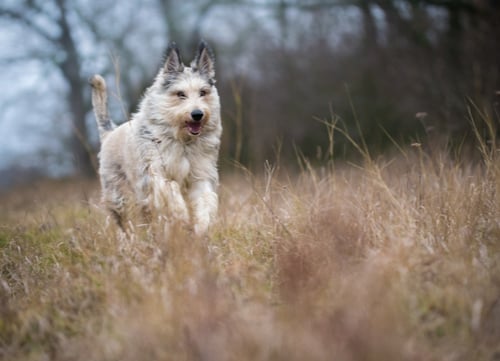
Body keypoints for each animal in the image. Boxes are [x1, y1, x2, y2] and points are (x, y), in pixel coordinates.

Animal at [90, 41, 223, 233]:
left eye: (203, 92)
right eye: (180, 94)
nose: (197, 114)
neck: (182, 141)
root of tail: (109, 133)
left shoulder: (201, 174)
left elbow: (205, 199)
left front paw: (201, 226)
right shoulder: (153, 172)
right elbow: (170, 188)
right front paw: (181, 214)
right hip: (117, 194)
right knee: (122, 221)